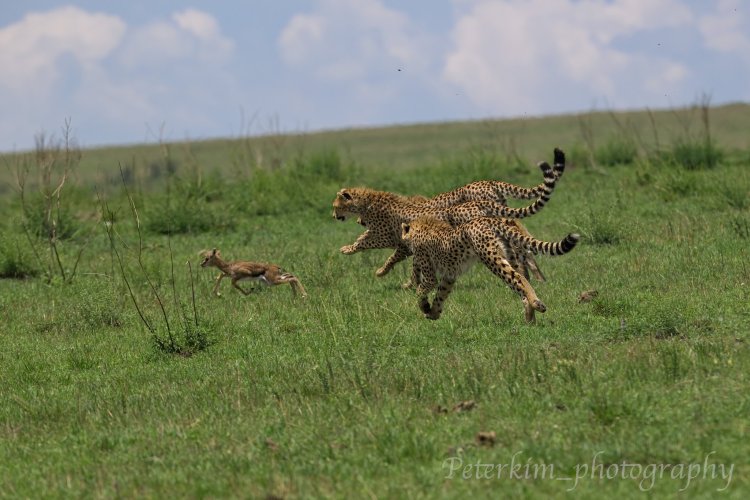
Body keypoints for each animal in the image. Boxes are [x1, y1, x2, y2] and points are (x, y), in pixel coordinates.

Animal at [400, 217, 580, 322]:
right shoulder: (449, 275)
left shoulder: (431, 273)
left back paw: (536, 304)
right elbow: (440, 294)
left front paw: (425, 307)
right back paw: (530, 315)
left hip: (491, 258)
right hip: (508, 256)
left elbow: (421, 290)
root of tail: (488, 219)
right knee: (521, 280)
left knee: (519, 279)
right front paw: (434, 313)